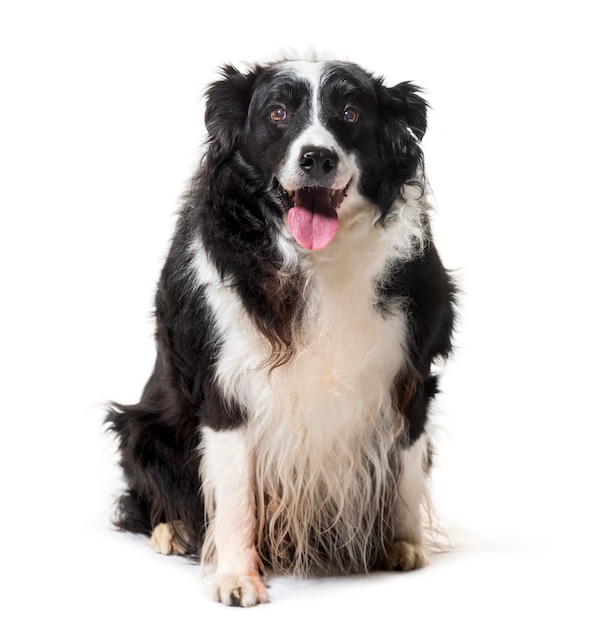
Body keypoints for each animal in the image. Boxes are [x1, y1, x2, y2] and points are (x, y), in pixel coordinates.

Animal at [106, 58, 454, 604]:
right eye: (277, 113)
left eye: (351, 113)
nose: (317, 158)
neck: (317, 259)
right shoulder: (223, 384)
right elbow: (233, 494)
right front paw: (235, 576)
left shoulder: (412, 369)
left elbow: (408, 463)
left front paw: (402, 544)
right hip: (143, 425)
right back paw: (172, 530)